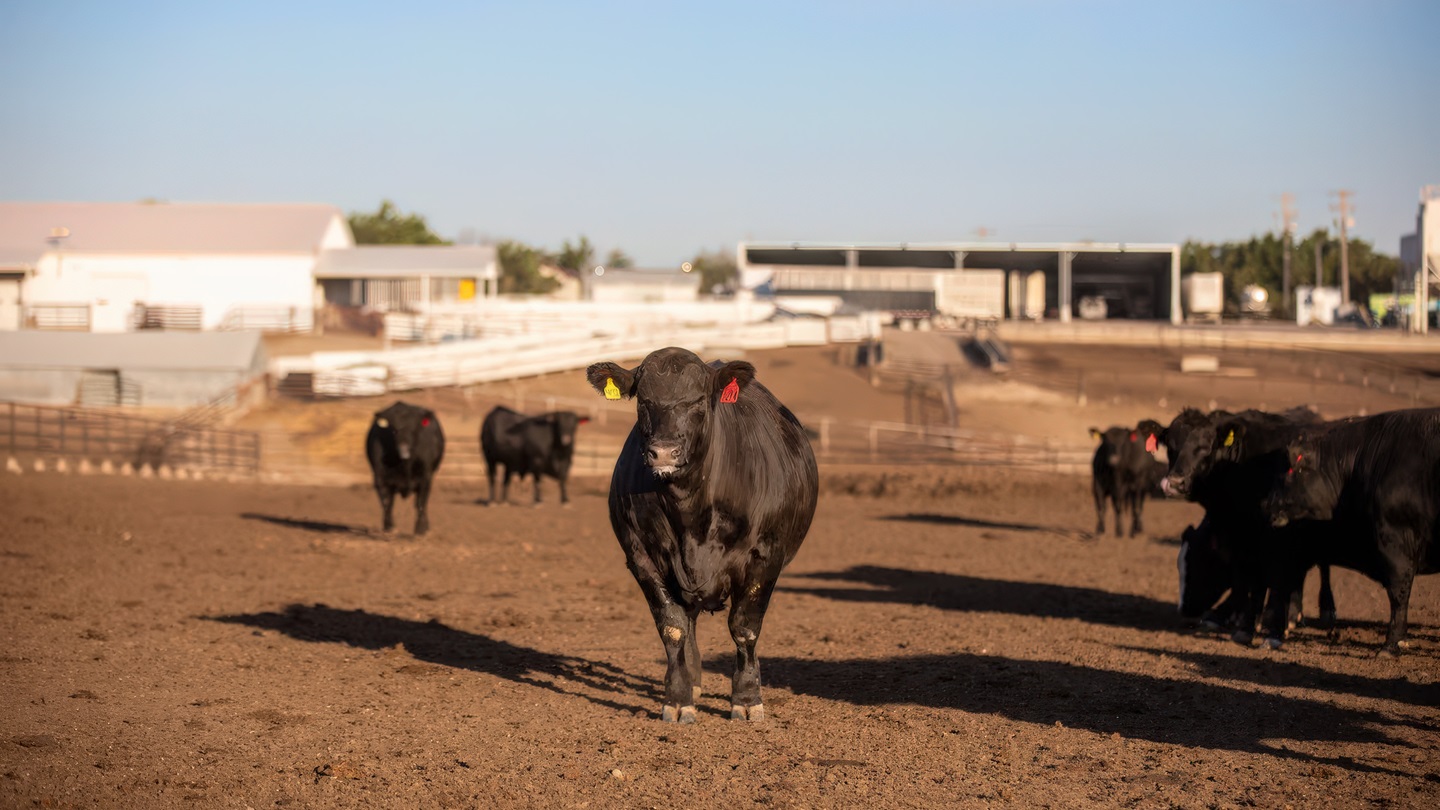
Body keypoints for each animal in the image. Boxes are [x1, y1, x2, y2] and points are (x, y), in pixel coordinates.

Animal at [365, 401, 445, 535]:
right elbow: (387, 502)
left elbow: (420, 502)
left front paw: (420, 529)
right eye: (394, 430)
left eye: (414, 430)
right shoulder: (380, 477)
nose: (404, 449)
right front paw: (389, 527)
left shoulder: (426, 477)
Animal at [586, 347, 819, 723]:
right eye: (644, 401)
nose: (663, 452)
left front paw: (747, 699)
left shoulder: (765, 558)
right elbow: (673, 627)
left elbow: (744, 627)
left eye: (696, 401)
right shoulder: (642, 558)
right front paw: (678, 698)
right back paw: (691, 681)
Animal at [1159, 406, 1336, 647]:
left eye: (1204, 447)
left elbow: (1273, 577)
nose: (1175, 484)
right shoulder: (1241, 535)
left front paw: (1271, 626)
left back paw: (1322, 610)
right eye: (1170, 446)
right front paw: (1238, 619)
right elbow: (1246, 578)